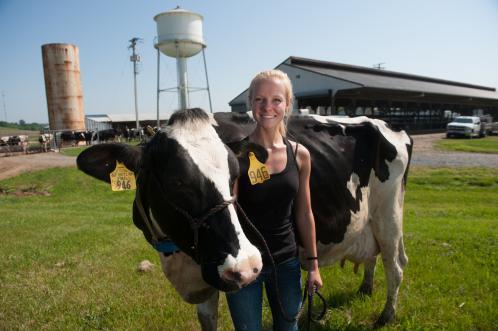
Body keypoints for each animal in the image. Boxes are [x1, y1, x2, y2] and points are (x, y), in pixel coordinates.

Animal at [77, 108, 412, 330]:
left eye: (234, 174)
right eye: (176, 181)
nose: (247, 266)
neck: (177, 258)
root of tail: (389, 123)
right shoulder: (206, 275)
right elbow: (208, 320)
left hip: (390, 213)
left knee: (395, 266)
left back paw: (386, 316)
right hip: (370, 221)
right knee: (374, 256)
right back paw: (365, 289)